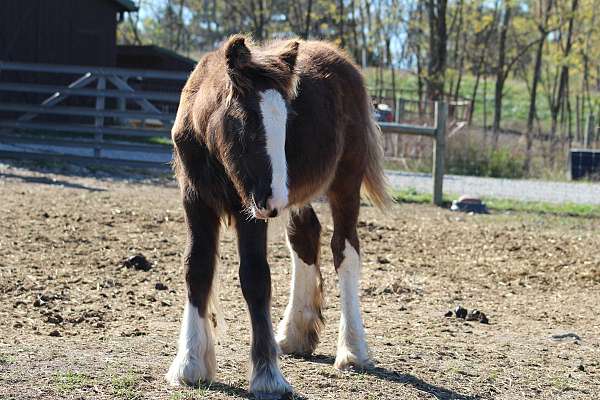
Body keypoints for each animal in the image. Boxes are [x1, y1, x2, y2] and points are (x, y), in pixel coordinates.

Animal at [166, 35, 390, 400]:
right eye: (244, 124)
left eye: (286, 124)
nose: (275, 201)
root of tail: (343, 60)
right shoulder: (195, 199)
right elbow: (196, 268)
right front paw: (189, 364)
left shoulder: (249, 208)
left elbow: (255, 278)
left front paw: (268, 376)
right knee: (305, 237)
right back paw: (295, 332)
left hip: (343, 182)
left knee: (345, 250)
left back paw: (353, 350)